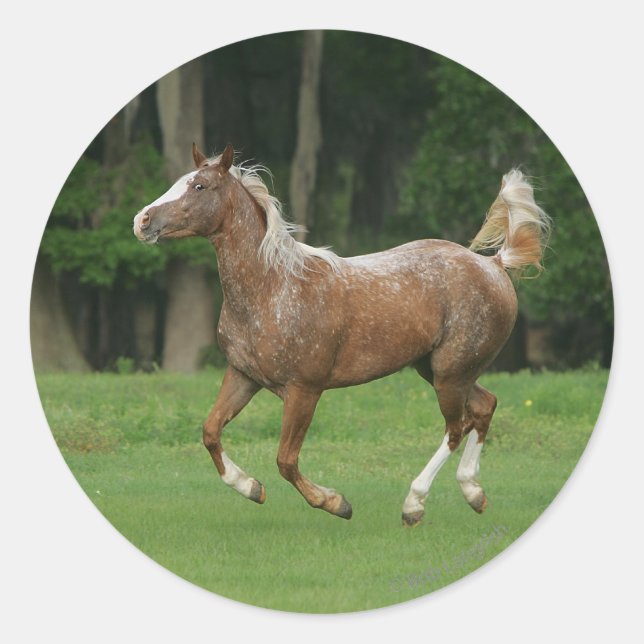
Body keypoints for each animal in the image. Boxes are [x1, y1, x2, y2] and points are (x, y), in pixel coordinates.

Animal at [133, 143, 550, 526]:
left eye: (199, 186)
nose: (142, 220)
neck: (273, 288)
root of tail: (494, 265)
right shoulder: (243, 376)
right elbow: (210, 431)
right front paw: (251, 487)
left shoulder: (304, 389)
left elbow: (285, 460)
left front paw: (336, 503)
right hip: (439, 369)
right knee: (484, 407)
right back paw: (473, 493)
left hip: (450, 373)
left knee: (455, 427)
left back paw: (414, 505)